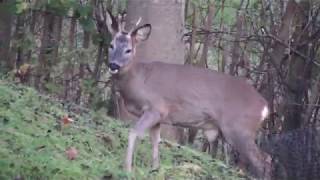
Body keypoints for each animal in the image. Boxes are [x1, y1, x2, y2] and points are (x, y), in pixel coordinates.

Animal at [101, 10, 272, 180]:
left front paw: (127, 170)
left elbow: (133, 133)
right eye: (111, 45)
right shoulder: (159, 118)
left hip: (239, 128)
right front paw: (155, 169)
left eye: (128, 50)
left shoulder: (156, 108)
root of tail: (265, 107)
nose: (113, 65)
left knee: (262, 160)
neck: (139, 79)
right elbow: (156, 141)